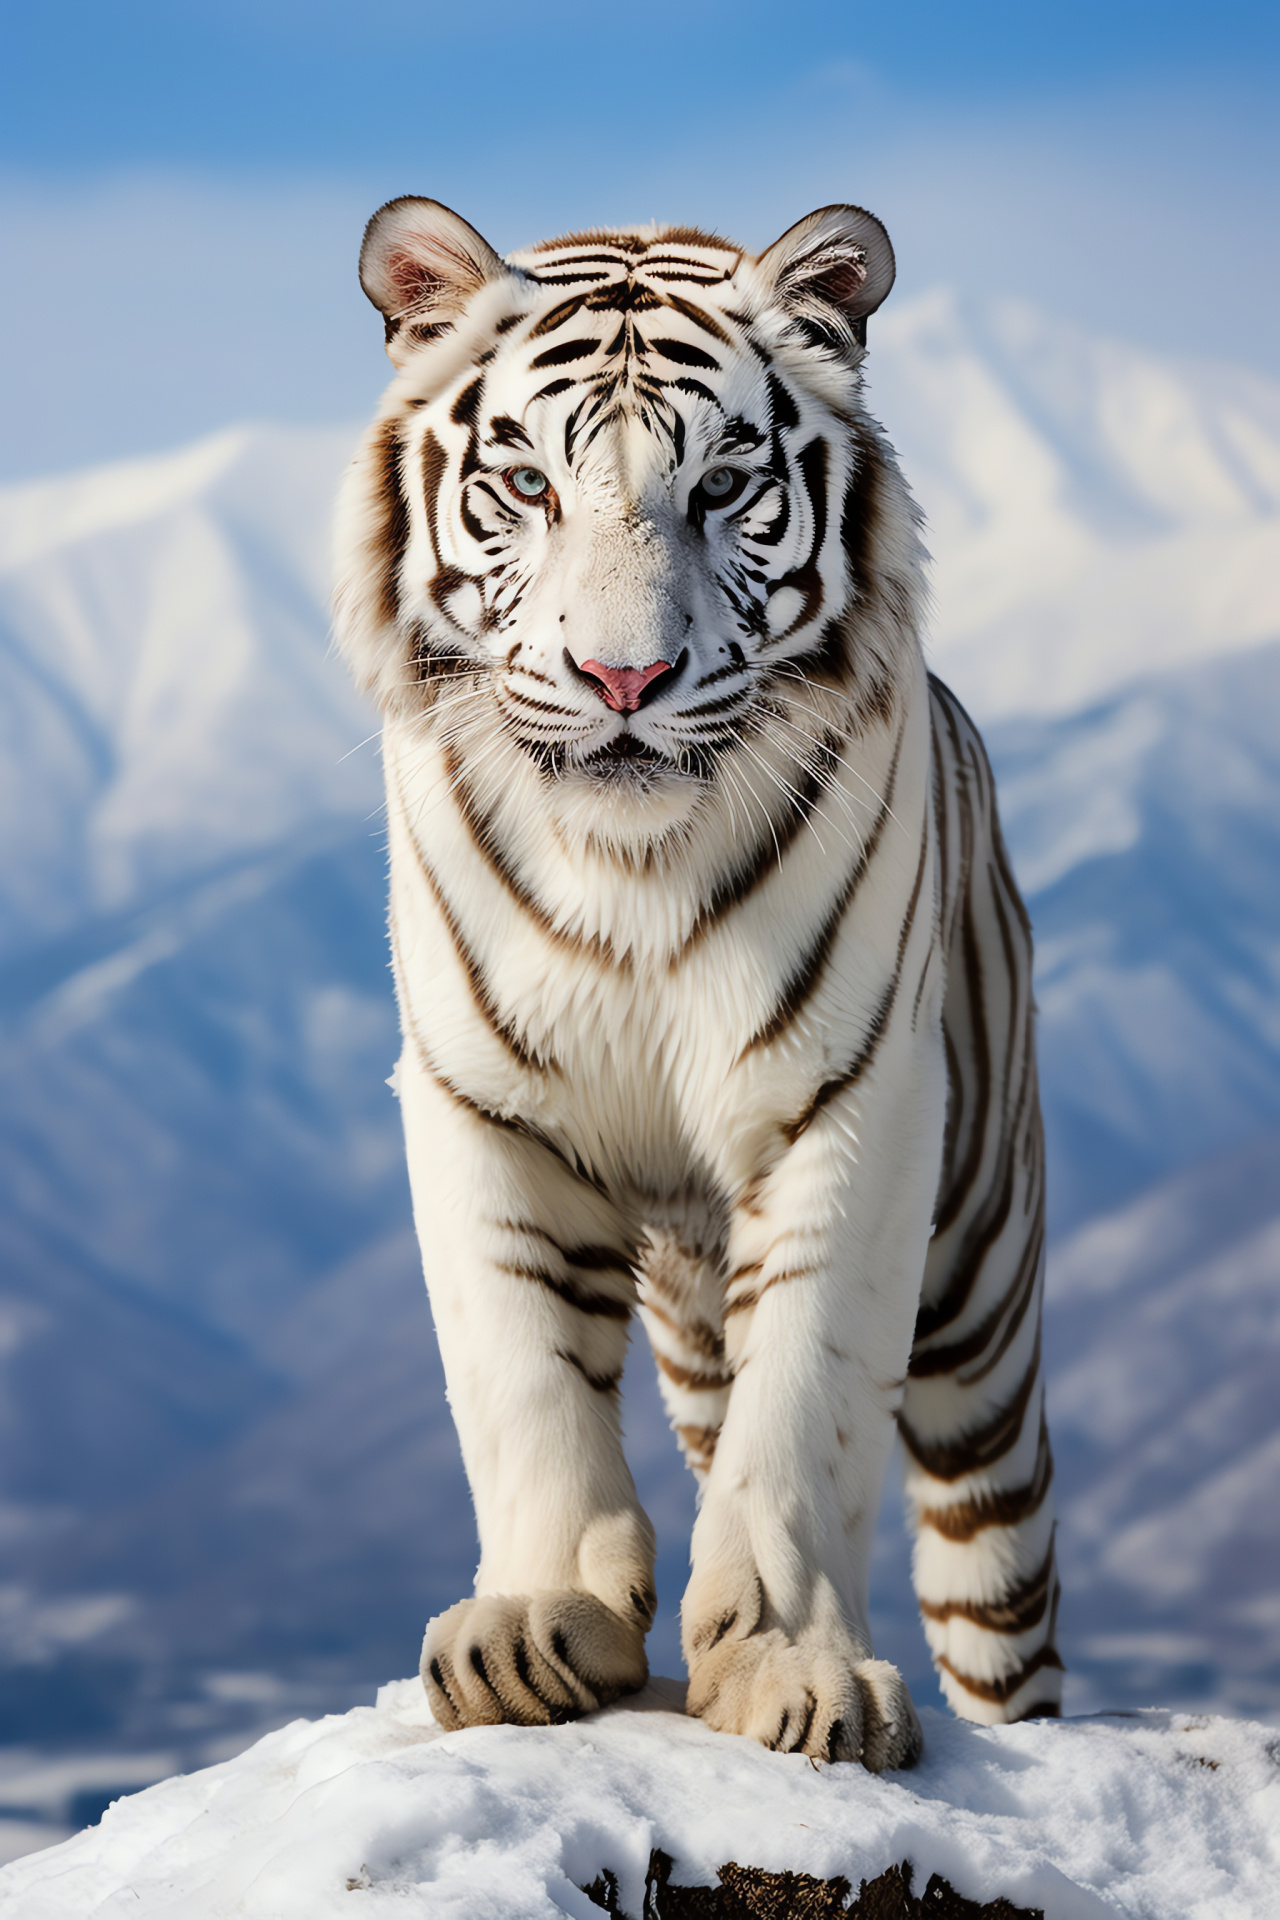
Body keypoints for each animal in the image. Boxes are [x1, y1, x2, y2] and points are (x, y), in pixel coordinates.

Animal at [330, 198, 1059, 1766]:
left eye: (723, 484)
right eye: (525, 484)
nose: (624, 681)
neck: (631, 867)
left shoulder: (858, 1104)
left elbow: (809, 1399)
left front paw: (797, 1669)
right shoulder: (478, 1107)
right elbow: (525, 1383)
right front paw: (534, 1627)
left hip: (980, 1300)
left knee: (997, 1589)